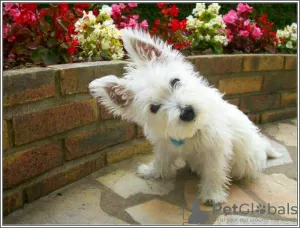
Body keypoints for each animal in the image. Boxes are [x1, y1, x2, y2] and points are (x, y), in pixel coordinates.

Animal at [89, 28, 282, 205]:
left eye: (175, 81)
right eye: (154, 108)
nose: (187, 112)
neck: (192, 131)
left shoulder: (215, 149)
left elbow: (214, 171)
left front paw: (212, 195)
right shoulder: (165, 145)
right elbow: (161, 160)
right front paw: (152, 172)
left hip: (248, 160)